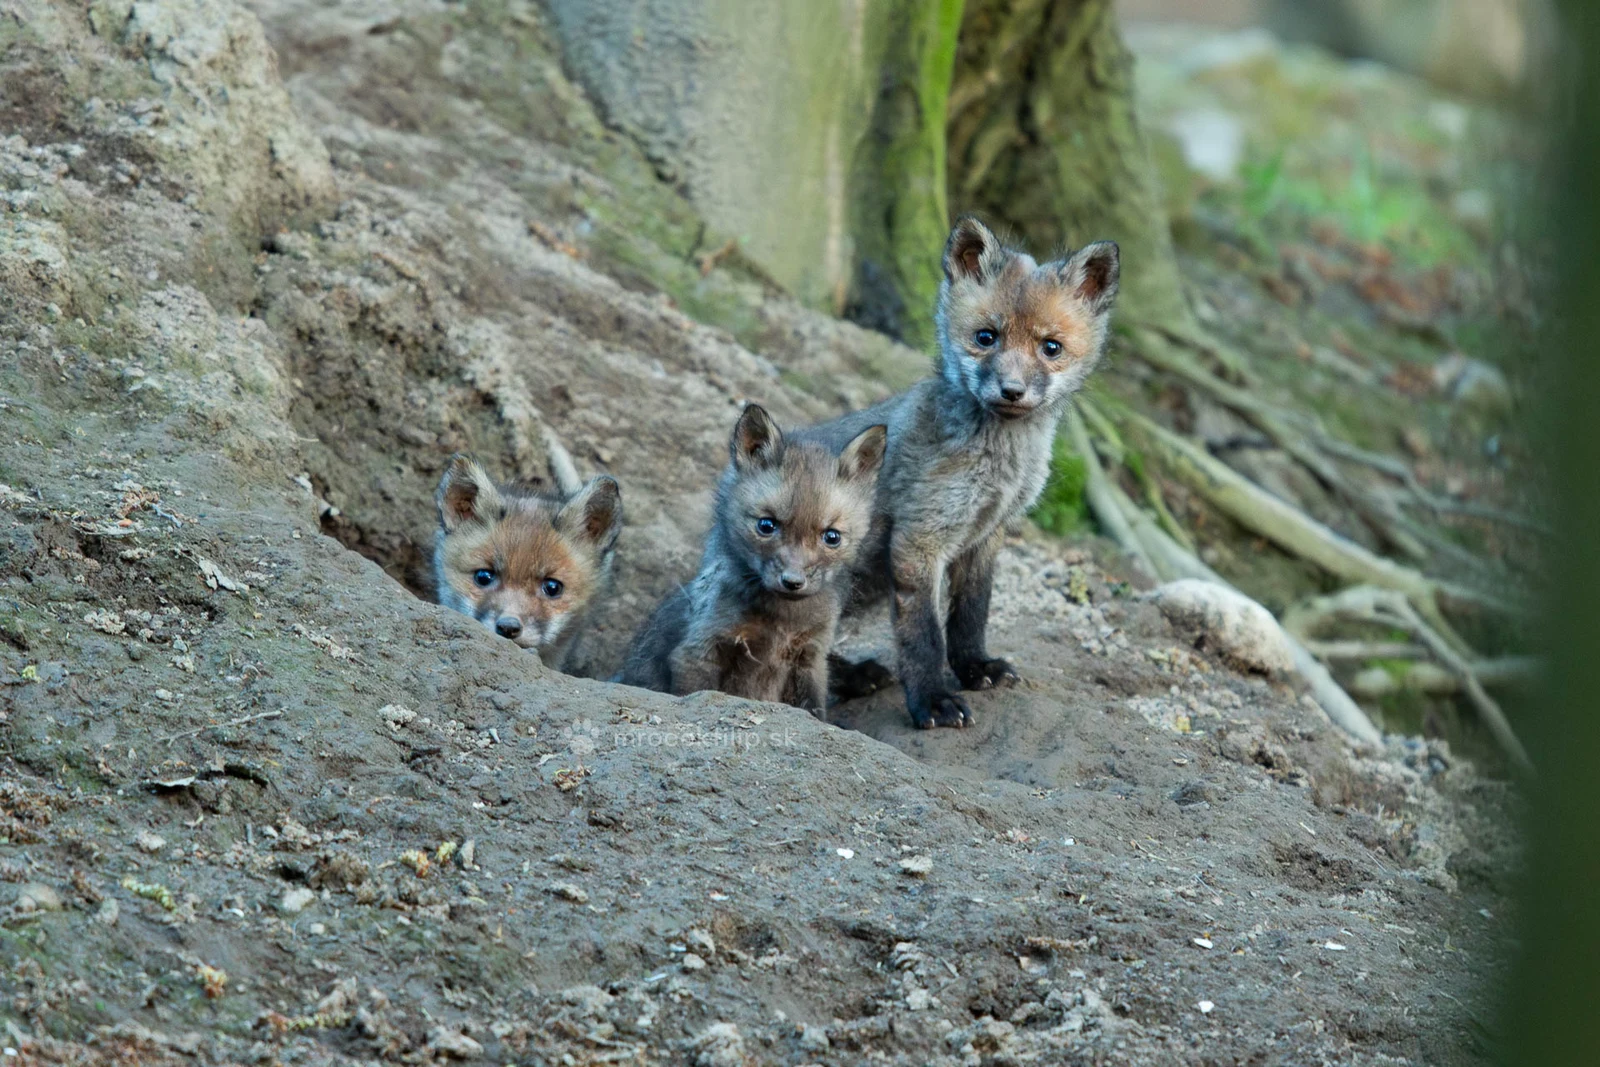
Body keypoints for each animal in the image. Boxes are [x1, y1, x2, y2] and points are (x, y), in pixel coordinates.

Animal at [620, 404, 887, 712]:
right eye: (766, 525)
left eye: (832, 537)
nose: (793, 582)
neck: (783, 623)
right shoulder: (699, 651)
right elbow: (692, 693)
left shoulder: (811, 657)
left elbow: (815, 710)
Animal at [811, 216, 1120, 729]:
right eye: (986, 337)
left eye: (1050, 347)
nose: (1012, 390)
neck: (1000, 469)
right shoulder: (921, 537)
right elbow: (924, 636)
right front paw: (933, 699)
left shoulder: (987, 535)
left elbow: (971, 615)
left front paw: (975, 668)